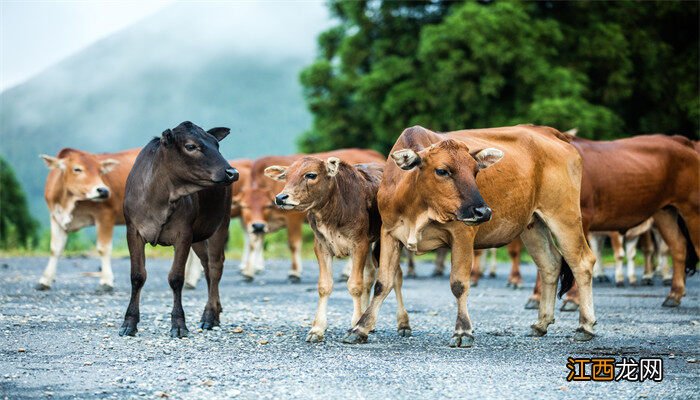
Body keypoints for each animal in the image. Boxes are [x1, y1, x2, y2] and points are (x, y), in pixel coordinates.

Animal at [37, 147, 141, 290]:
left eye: (100, 171)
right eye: (77, 169)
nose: (103, 190)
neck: (68, 202)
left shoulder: (106, 215)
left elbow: (103, 248)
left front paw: (106, 281)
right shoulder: (55, 216)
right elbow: (55, 248)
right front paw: (45, 280)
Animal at [238, 148, 386, 282]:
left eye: (266, 206)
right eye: (244, 206)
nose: (280, 198)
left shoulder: (293, 218)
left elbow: (293, 244)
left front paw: (294, 272)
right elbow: (253, 243)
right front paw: (249, 272)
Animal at [266, 158, 394, 342]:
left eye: (311, 175)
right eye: (286, 176)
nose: (281, 197)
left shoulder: (359, 244)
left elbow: (355, 285)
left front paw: (356, 324)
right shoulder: (321, 246)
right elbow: (324, 286)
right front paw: (317, 329)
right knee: (370, 275)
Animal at [344, 125, 596, 346]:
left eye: (476, 171)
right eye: (442, 171)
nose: (482, 211)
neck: (417, 205)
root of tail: (552, 133)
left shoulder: (462, 234)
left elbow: (459, 284)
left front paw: (463, 331)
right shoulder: (389, 234)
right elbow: (382, 283)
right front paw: (360, 328)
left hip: (564, 216)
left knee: (582, 262)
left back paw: (585, 326)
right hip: (533, 225)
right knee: (550, 265)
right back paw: (541, 323)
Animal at [528, 134, 696, 310]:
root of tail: (681, 141)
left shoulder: (581, 217)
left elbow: (576, 258)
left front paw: (572, 299)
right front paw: (536, 297)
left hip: (692, 207)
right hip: (665, 212)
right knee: (678, 246)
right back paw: (674, 294)